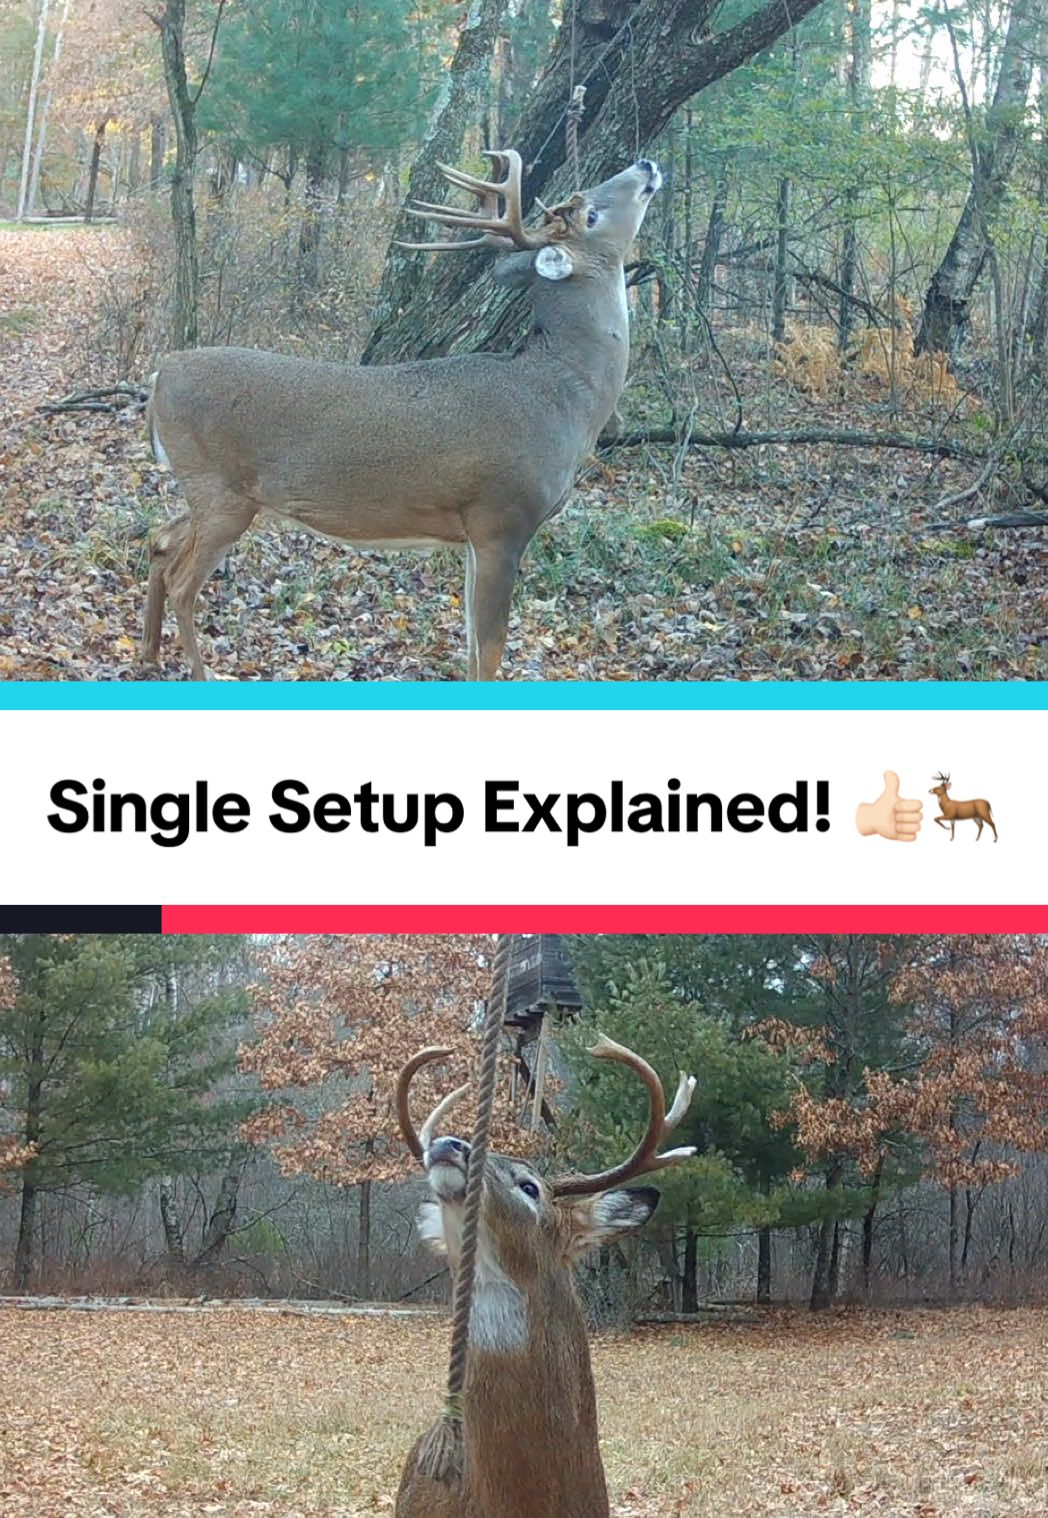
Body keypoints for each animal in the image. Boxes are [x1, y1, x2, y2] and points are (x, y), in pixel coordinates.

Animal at [140, 149, 662, 680]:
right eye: (590, 215)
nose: (646, 165)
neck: (563, 396)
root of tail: (162, 373)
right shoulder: (502, 517)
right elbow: (490, 650)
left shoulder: (473, 534)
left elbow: (470, 644)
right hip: (219, 490)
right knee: (183, 582)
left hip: (211, 494)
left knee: (159, 540)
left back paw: (148, 655)